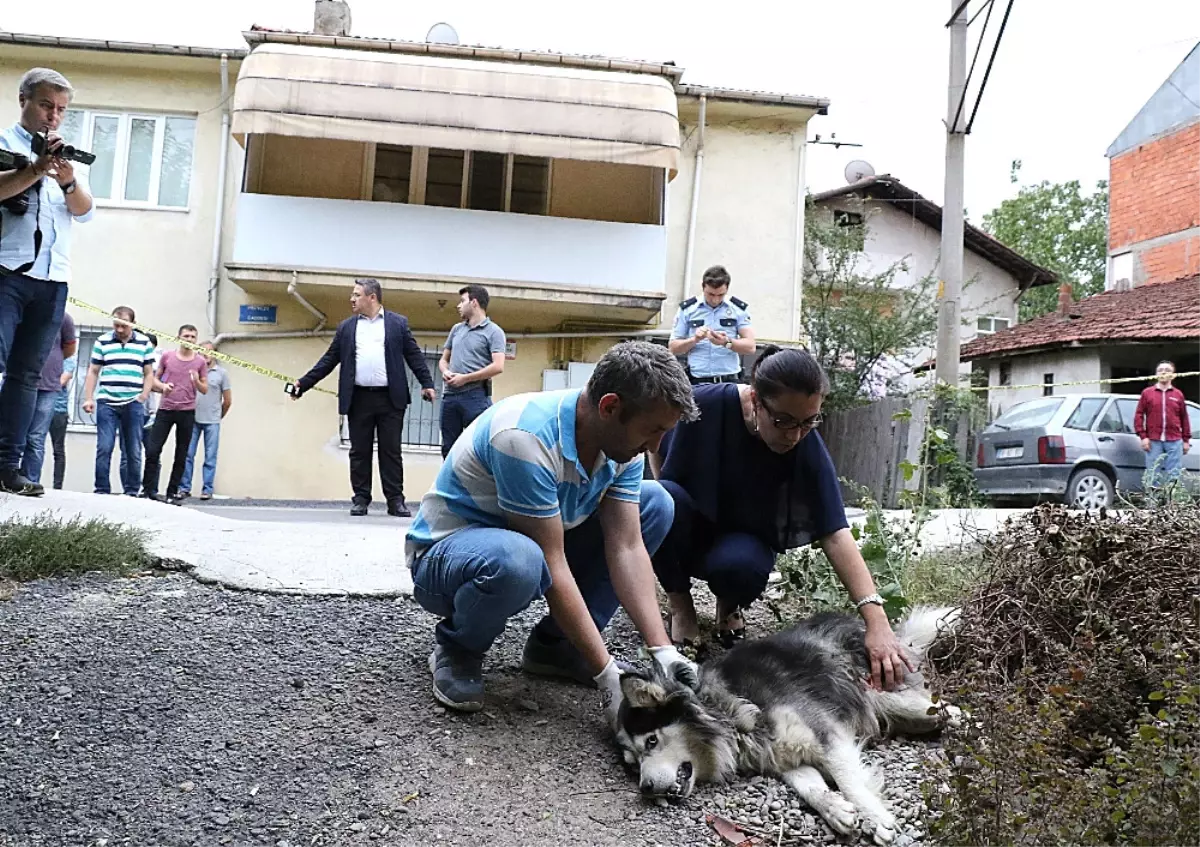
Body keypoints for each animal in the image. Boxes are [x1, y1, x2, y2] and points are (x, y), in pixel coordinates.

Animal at [614, 607, 960, 844]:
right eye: (633, 764)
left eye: (651, 742)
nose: (645, 789)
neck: (726, 710)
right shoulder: (782, 756)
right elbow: (809, 787)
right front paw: (838, 810)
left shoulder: (826, 734)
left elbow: (849, 780)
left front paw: (876, 817)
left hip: (886, 696)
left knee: (952, 709)